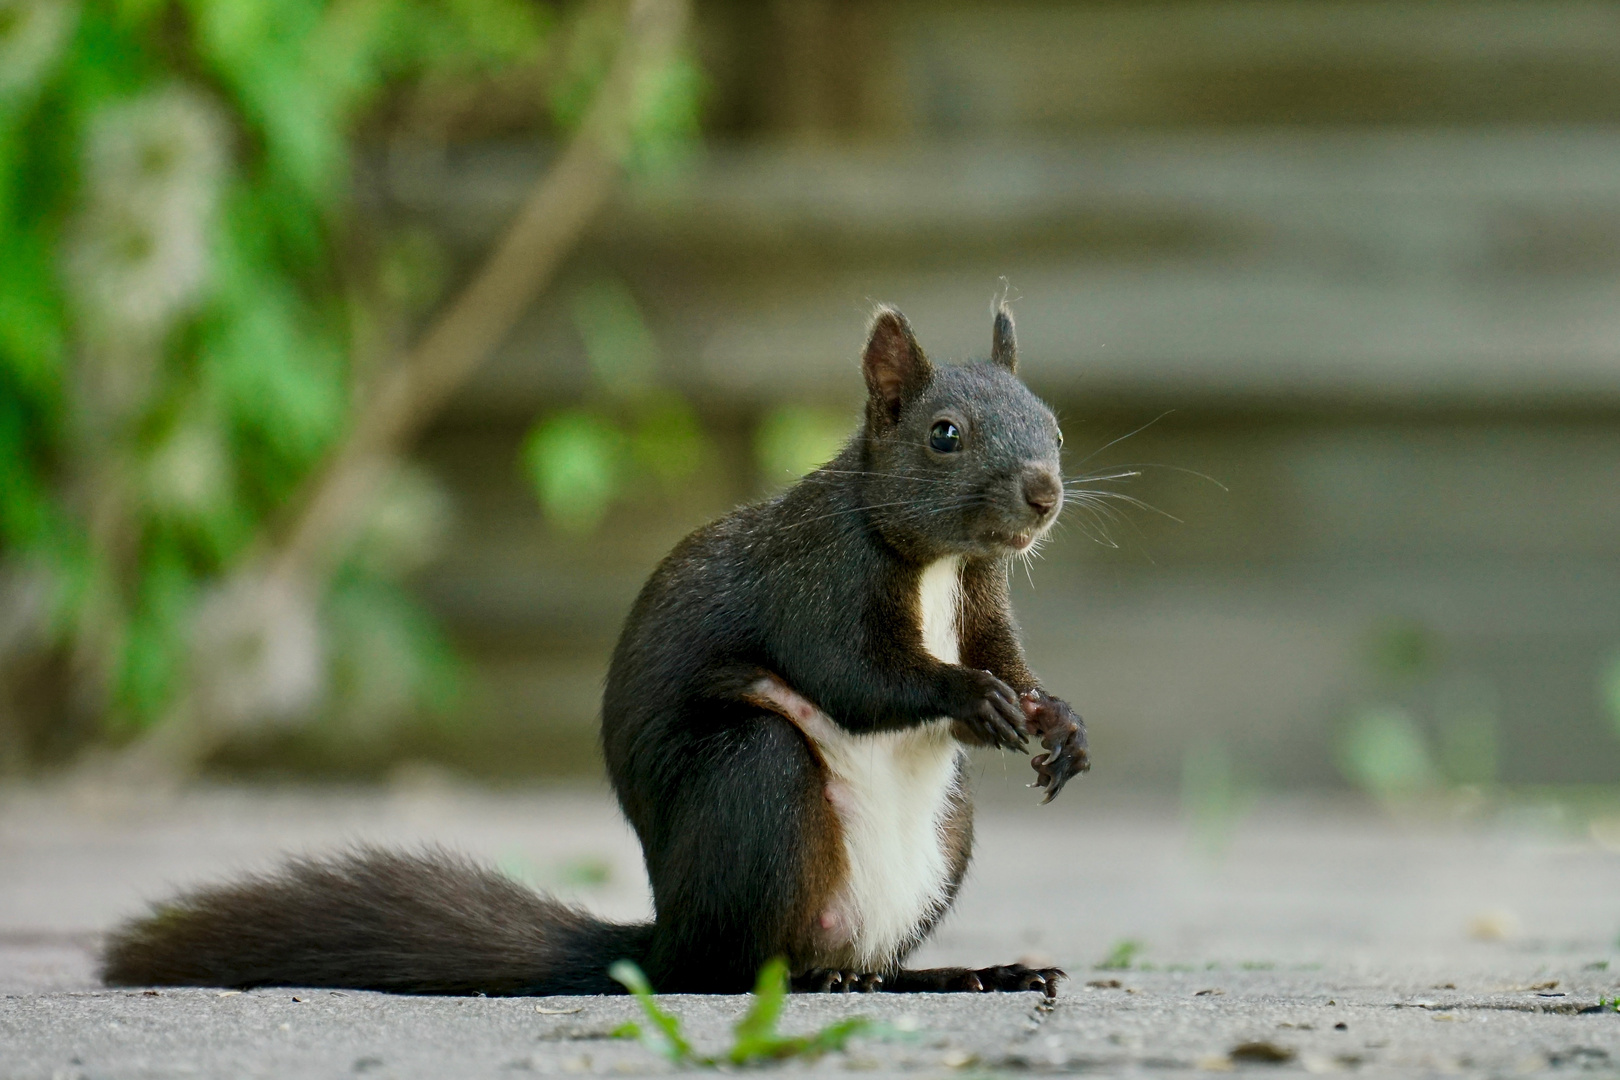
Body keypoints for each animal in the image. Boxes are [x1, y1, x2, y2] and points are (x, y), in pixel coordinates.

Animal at [101, 302, 1088, 997]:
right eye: (944, 434)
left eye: (1054, 424)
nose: (1045, 494)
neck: (937, 564)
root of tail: (666, 936)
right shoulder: (814, 581)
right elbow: (856, 676)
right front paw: (974, 700)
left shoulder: (980, 601)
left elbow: (1004, 658)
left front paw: (1058, 719)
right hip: (755, 778)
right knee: (736, 965)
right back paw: (822, 979)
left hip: (947, 834)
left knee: (876, 958)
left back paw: (962, 972)